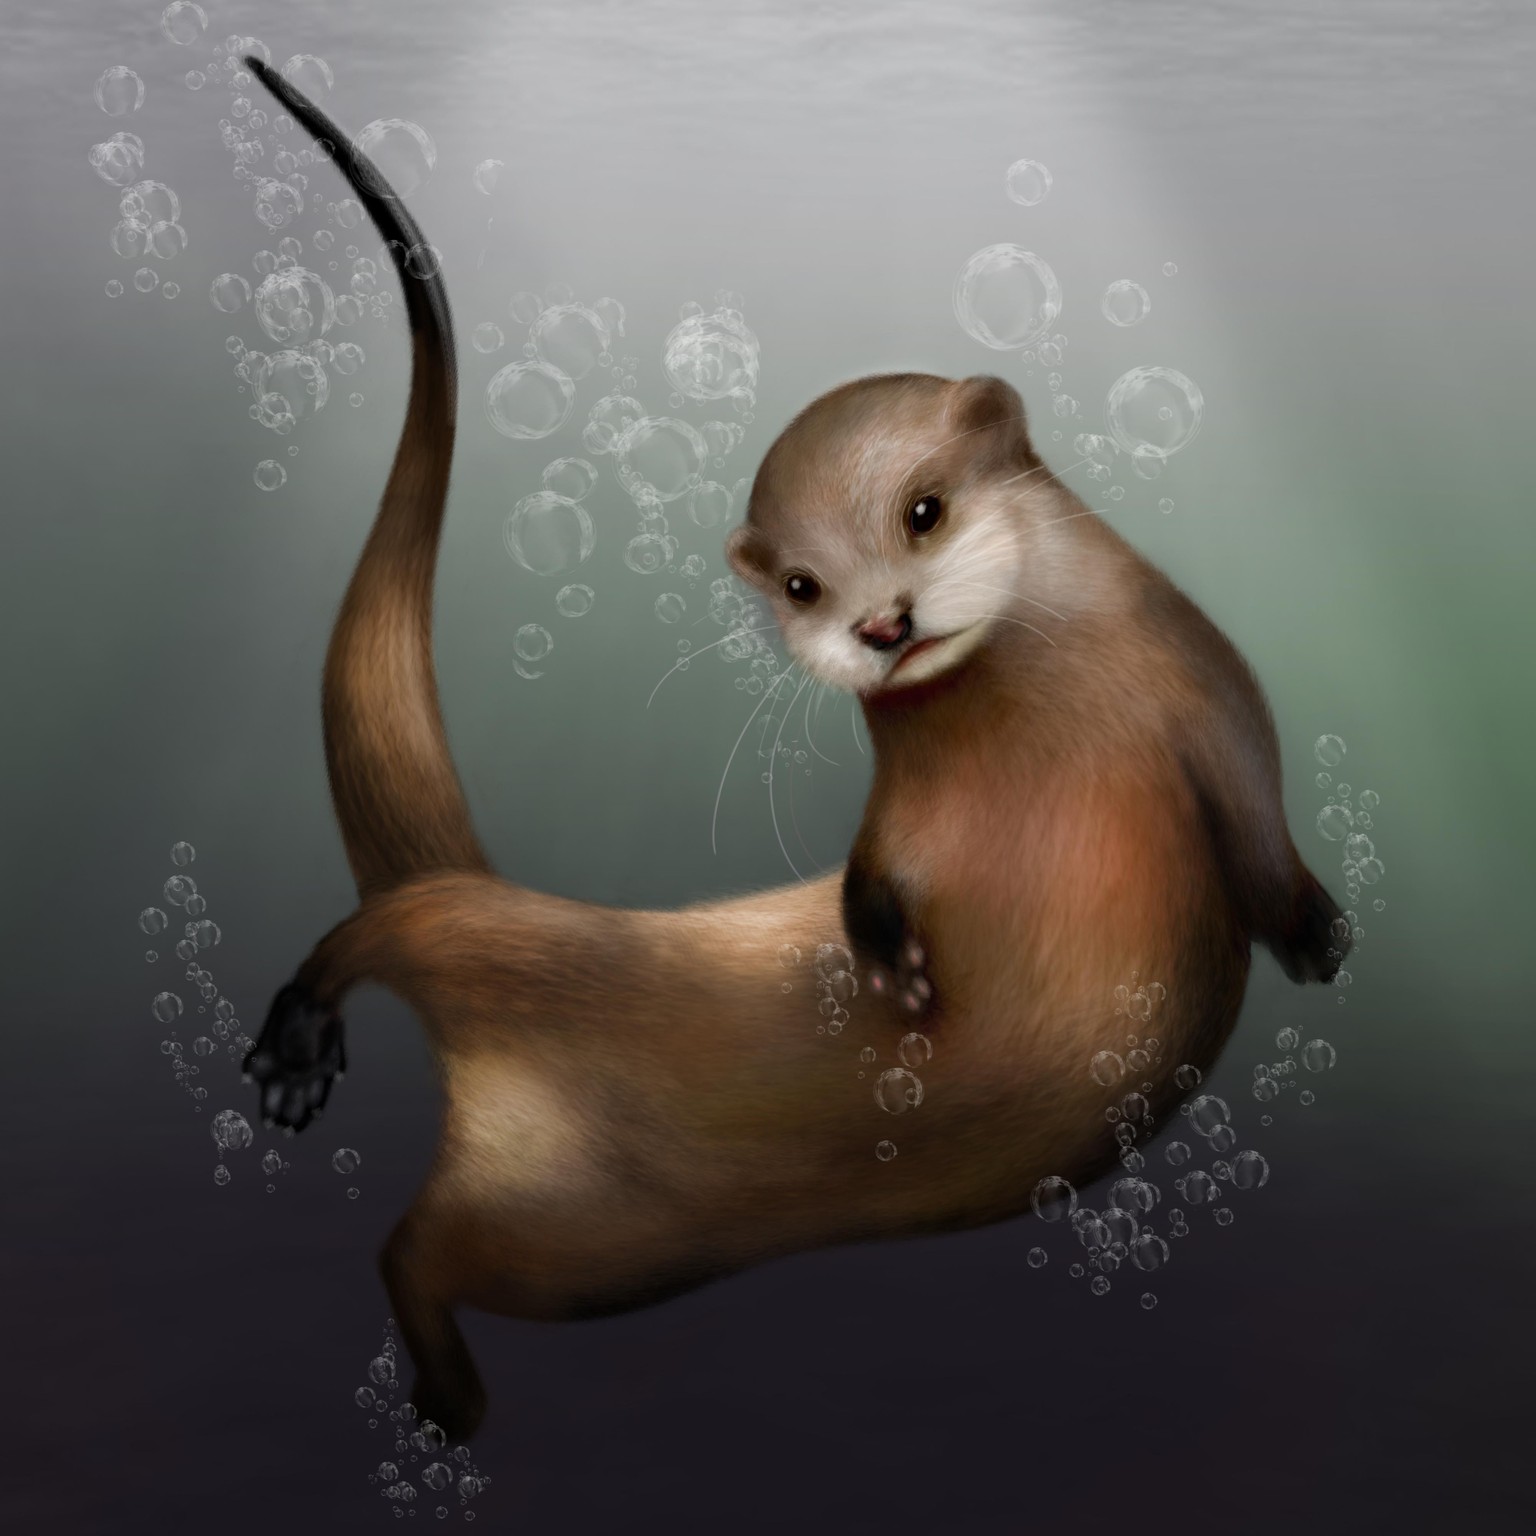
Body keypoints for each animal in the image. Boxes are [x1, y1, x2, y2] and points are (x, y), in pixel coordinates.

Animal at [239, 57, 1347, 1443]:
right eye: (803, 585)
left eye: (924, 508)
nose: (882, 623)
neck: (1059, 765)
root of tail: (522, 911)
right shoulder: (909, 820)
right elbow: (875, 870)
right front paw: (890, 968)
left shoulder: (1214, 712)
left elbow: (1260, 831)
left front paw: (1317, 937)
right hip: (550, 1169)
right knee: (396, 1018)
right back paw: (311, 1085)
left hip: (584, 1232)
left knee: (415, 1225)